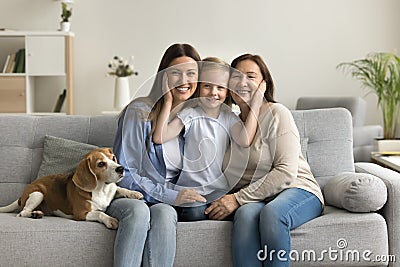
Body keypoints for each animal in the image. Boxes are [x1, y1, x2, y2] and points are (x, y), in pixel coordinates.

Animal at [0, 148, 143, 229]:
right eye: (101, 164)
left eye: (113, 158)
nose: (121, 168)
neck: (102, 188)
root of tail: (21, 197)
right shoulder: (81, 214)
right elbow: (99, 213)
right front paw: (110, 220)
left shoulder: (112, 190)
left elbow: (119, 189)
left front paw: (134, 193)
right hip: (37, 194)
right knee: (21, 213)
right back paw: (34, 214)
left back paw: (36, 213)